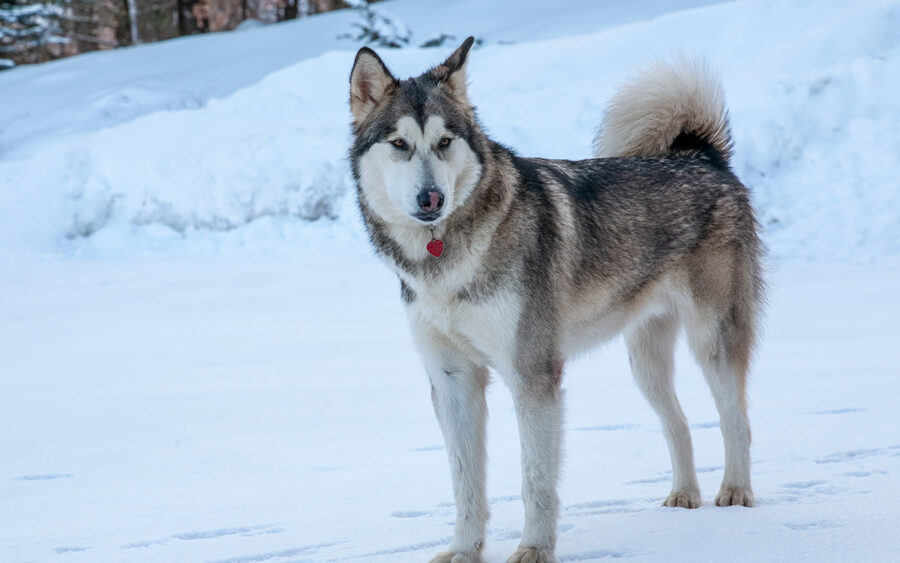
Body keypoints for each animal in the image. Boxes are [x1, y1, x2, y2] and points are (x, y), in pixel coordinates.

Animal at [348, 37, 764, 560]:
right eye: (399, 144)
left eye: (444, 142)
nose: (431, 199)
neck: (446, 262)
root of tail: (702, 157)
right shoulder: (453, 380)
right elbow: (465, 483)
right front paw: (464, 550)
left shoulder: (533, 376)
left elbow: (535, 480)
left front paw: (534, 550)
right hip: (644, 361)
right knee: (680, 424)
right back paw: (685, 496)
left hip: (712, 343)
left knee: (737, 420)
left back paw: (735, 494)